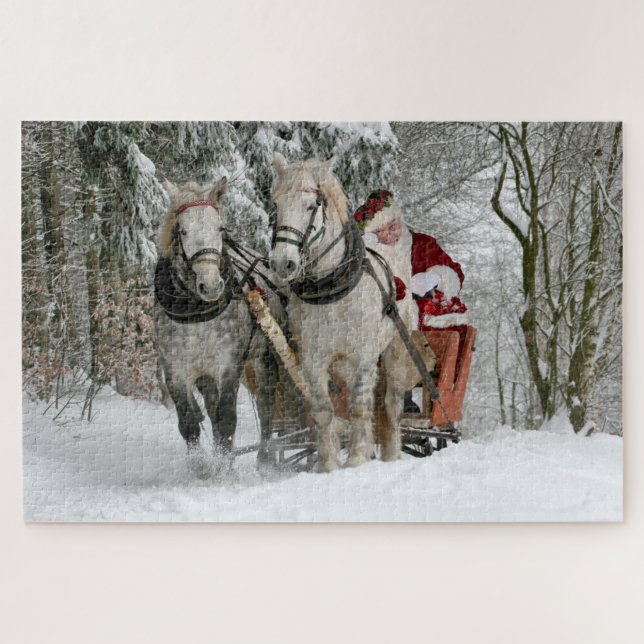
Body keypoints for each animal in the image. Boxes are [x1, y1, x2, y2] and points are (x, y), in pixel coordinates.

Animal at [154, 178, 278, 477]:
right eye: (183, 230)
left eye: (220, 228)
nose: (211, 286)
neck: (195, 313)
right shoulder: (175, 370)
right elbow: (189, 421)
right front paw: (202, 466)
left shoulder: (229, 366)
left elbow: (227, 419)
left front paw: (223, 467)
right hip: (205, 375)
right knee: (210, 409)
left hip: (263, 358)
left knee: (266, 406)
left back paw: (265, 459)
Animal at [269, 153, 410, 472]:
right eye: (276, 205)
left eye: (312, 205)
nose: (283, 263)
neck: (331, 288)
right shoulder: (312, 358)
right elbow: (324, 410)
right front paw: (328, 464)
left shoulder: (365, 355)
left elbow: (360, 407)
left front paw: (357, 458)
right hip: (343, 364)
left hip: (395, 349)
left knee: (391, 405)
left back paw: (392, 454)